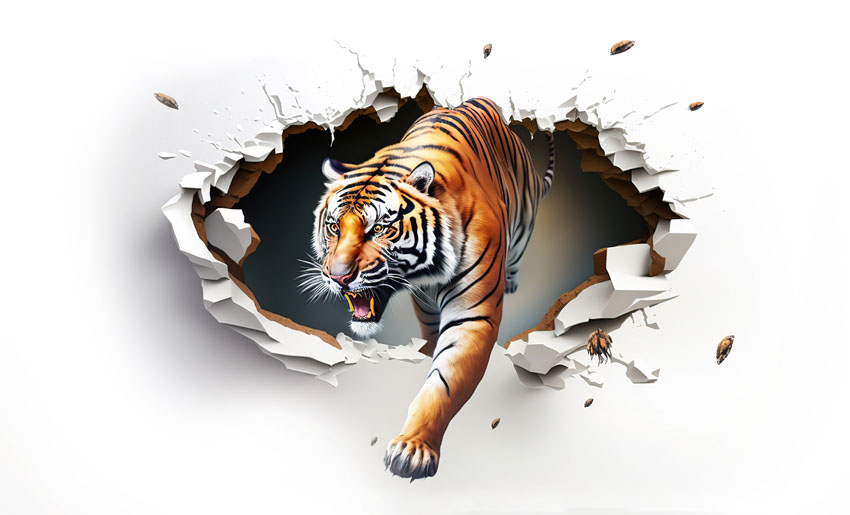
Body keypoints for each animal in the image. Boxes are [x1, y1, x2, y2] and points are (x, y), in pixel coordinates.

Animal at [304, 97, 555, 480]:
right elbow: (430, 344)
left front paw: (413, 449)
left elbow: (443, 383)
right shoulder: (424, 307)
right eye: (333, 226)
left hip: (525, 218)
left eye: (378, 230)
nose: (338, 276)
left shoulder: (471, 317)